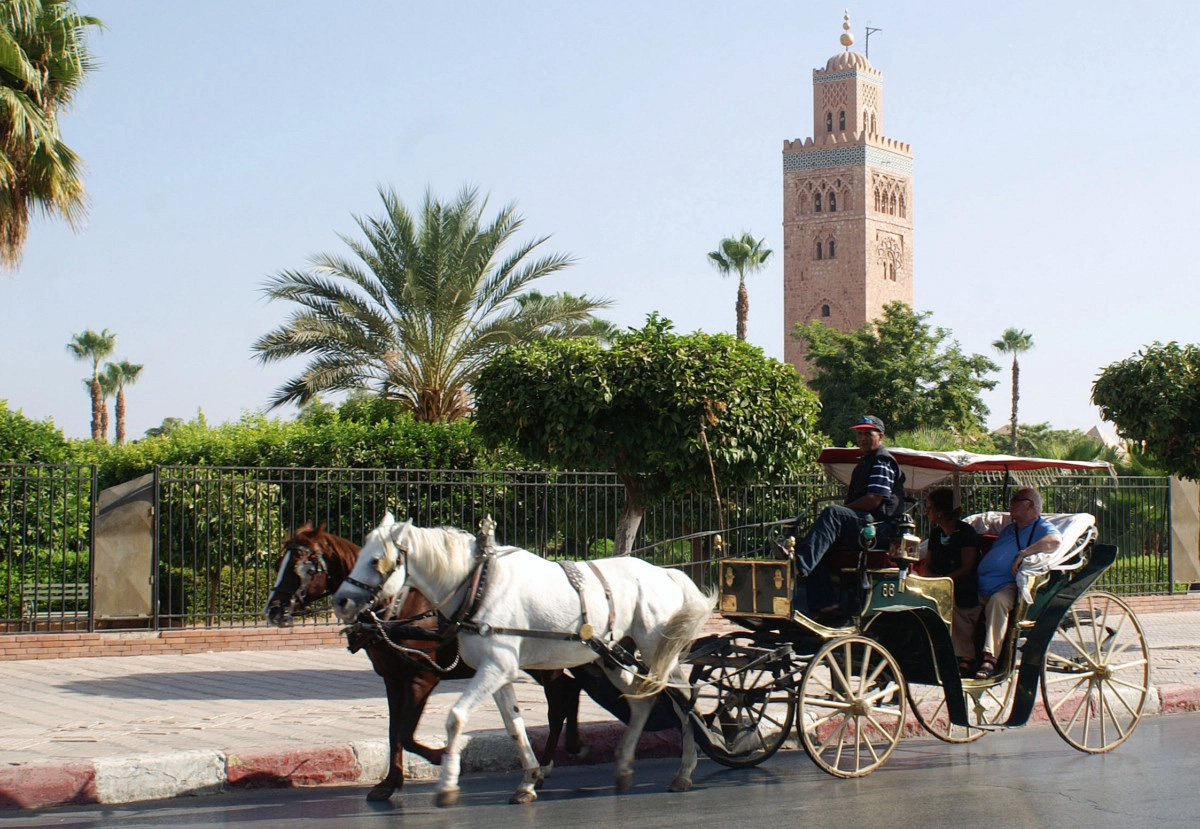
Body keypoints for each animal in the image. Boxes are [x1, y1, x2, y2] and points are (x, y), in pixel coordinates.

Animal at [264, 523, 585, 801]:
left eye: (305, 564)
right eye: (281, 561)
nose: (273, 609)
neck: (397, 606)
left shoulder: (423, 677)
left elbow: (406, 734)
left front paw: (442, 757)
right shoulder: (392, 679)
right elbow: (394, 731)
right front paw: (390, 783)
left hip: (544, 660)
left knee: (560, 699)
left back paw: (546, 762)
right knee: (568, 691)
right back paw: (559, 753)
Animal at [331, 515, 710, 806]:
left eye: (376, 560)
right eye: (360, 554)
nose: (341, 601)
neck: (480, 586)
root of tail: (666, 573)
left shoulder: (494, 667)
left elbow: (455, 718)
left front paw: (447, 783)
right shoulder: (499, 673)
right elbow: (514, 727)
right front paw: (528, 780)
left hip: (658, 649)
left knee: (683, 703)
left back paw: (685, 771)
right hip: (611, 655)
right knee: (642, 702)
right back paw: (625, 767)